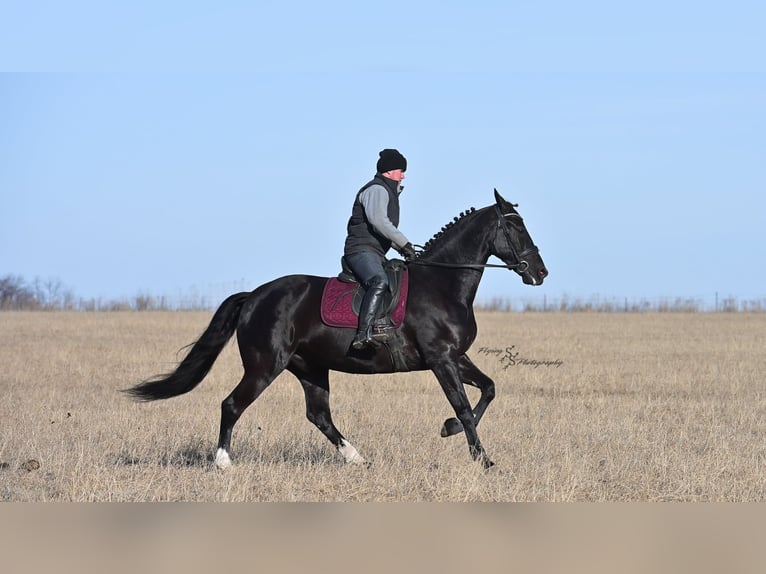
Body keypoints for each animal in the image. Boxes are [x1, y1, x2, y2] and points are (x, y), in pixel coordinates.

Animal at [126, 189, 548, 469]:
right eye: (516, 229)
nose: (540, 273)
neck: (442, 284)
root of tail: (256, 296)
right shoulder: (440, 359)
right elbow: (462, 405)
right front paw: (482, 460)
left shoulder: (455, 356)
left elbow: (488, 389)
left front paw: (450, 431)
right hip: (265, 366)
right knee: (232, 404)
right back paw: (224, 463)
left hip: (310, 368)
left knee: (319, 415)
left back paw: (357, 458)